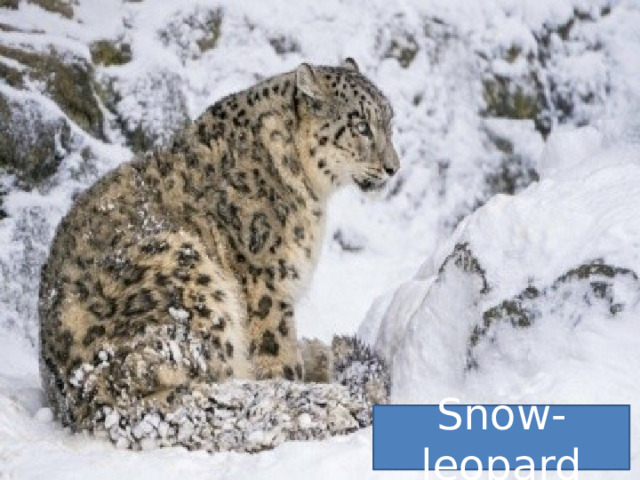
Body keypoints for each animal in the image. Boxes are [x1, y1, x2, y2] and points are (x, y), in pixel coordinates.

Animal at [38, 58, 399, 451]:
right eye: (361, 125)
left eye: (389, 122)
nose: (393, 167)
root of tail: (89, 392)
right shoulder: (268, 281)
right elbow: (277, 353)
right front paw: (293, 377)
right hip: (188, 277)